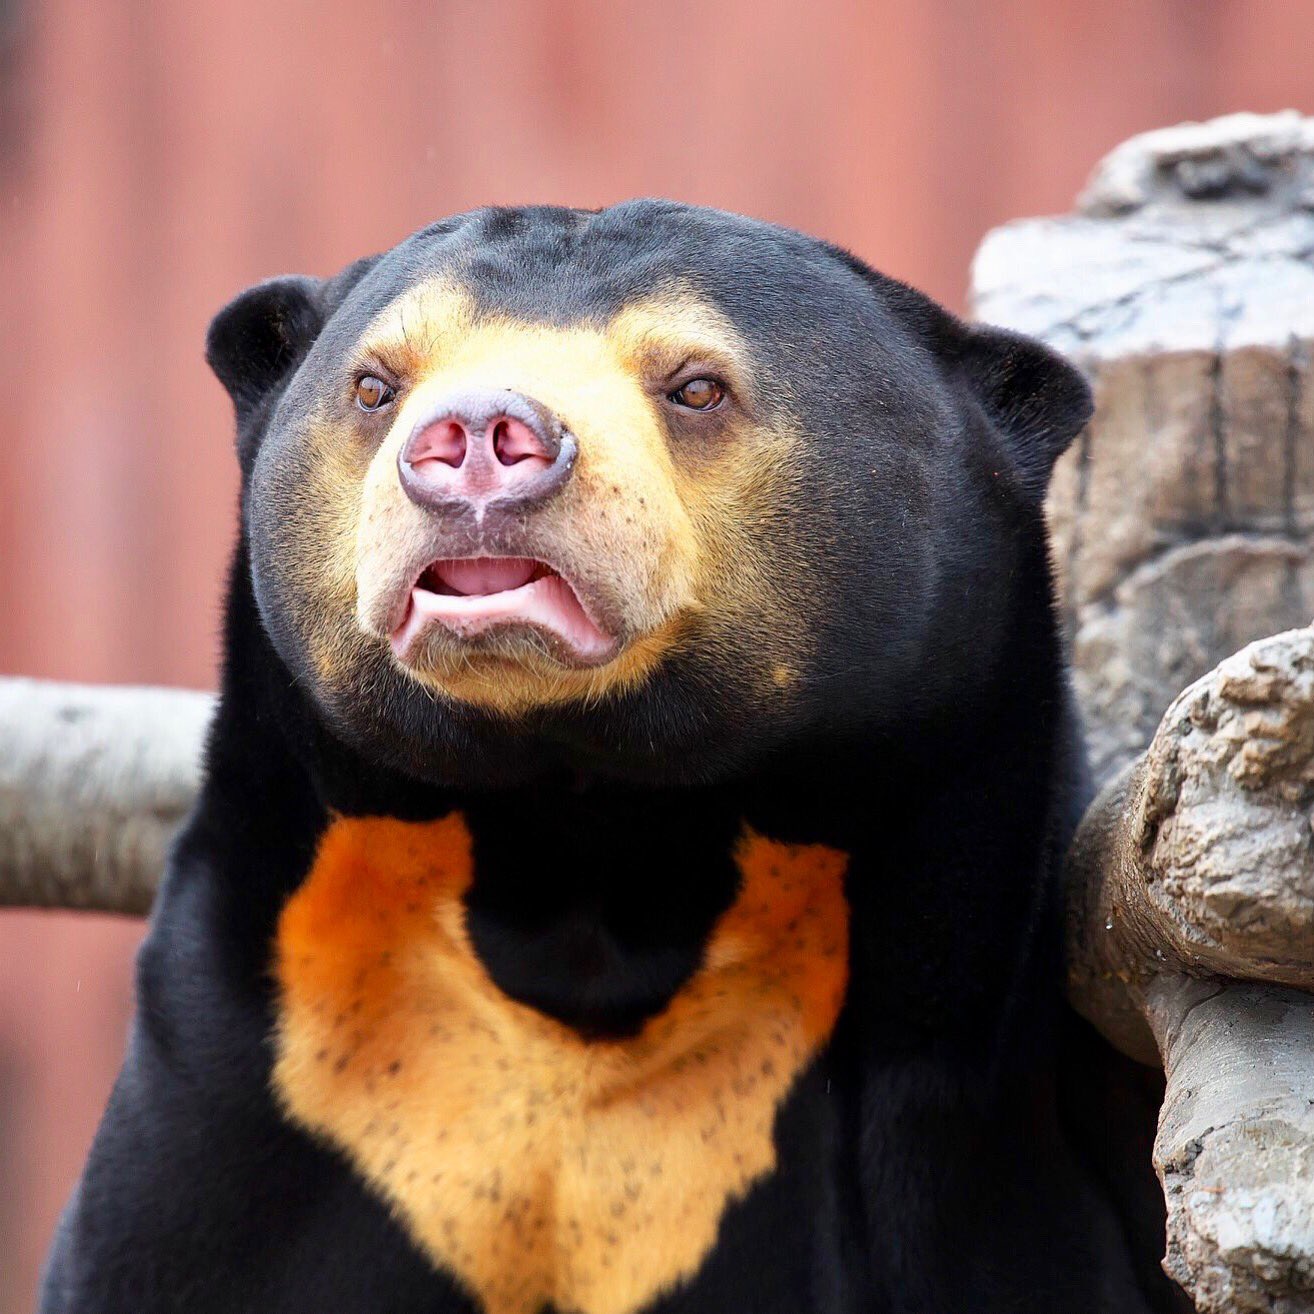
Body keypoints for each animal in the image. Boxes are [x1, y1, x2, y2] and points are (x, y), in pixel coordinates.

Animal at [39, 201, 1172, 1314]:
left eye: (697, 386)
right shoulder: (275, 1077)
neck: (586, 841)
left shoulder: (943, 1105)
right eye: (374, 384)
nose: (479, 437)